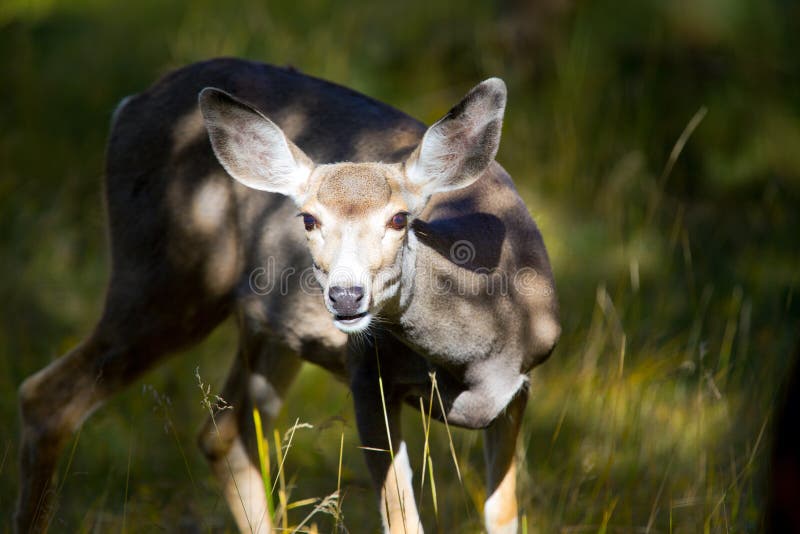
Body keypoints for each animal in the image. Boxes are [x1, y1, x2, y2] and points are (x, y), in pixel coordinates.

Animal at [15, 58, 560, 534]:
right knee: (46, 398)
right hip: (165, 273)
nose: (345, 295)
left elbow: (502, 516)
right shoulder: (367, 375)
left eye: (400, 218)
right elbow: (403, 520)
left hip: (264, 324)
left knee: (222, 431)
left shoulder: (520, 388)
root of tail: (129, 105)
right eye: (309, 219)